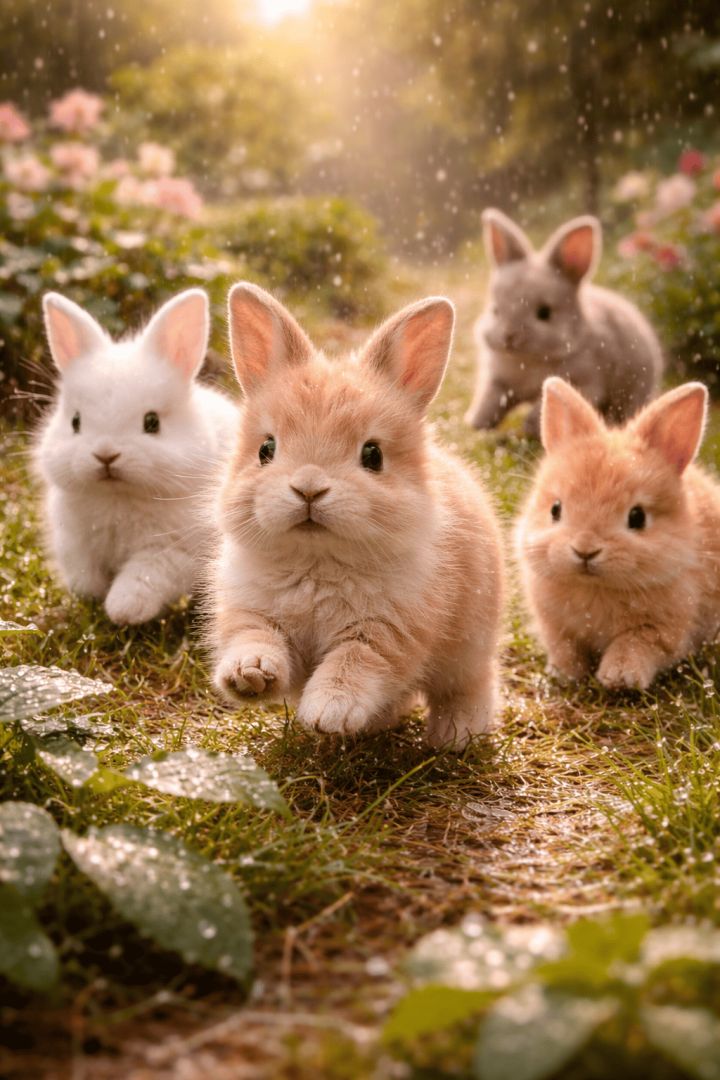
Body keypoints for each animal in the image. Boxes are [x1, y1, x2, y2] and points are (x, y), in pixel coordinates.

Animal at [35, 289, 238, 625]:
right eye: (75, 421)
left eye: (152, 422)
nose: (105, 455)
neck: (118, 497)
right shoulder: (75, 542)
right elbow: (83, 574)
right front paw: (90, 595)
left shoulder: (172, 551)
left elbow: (142, 578)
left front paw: (122, 610)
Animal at [209, 283, 504, 748]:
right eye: (266, 449)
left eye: (373, 455)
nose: (308, 488)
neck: (317, 563)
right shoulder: (251, 613)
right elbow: (254, 638)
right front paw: (249, 675)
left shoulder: (387, 633)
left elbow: (354, 662)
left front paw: (329, 712)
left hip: (469, 649)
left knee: (470, 686)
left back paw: (455, 736)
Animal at [465, 209, 664, 438]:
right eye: (496, 309)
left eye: (544, 313)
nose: (509, 337)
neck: (528, 360)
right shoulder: (497, 381)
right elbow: (490, 400)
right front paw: (476, 423)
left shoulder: (584, 382)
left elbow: (544, 406)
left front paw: (531, 427)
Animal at [515, 376, 720, 691]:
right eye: (555, 509)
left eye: (637, 517)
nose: (585, 550)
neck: (595, 588)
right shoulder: (555, 627)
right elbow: (565, 648)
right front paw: (565, 675)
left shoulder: (660, 630)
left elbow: (634, 645)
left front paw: (619, 679)